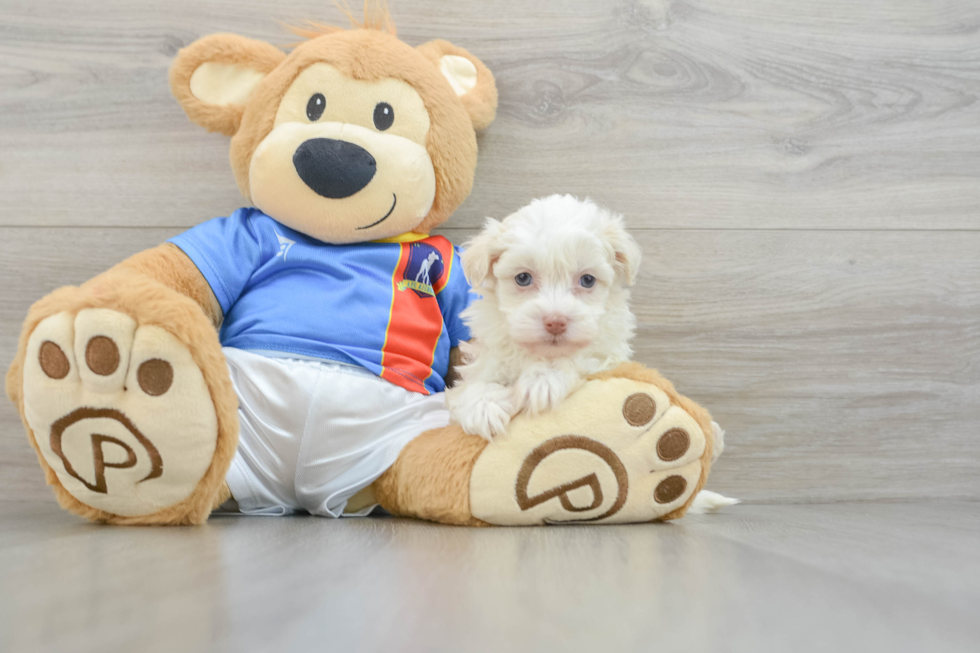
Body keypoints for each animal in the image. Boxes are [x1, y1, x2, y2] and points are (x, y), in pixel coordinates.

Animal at [446, 194, 644, 438]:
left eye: (587, 280)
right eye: (523, 278)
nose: (555, 322)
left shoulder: (609, 354)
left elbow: (581, 355)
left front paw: (543, 379)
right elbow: (476, 381)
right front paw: (483, 405)